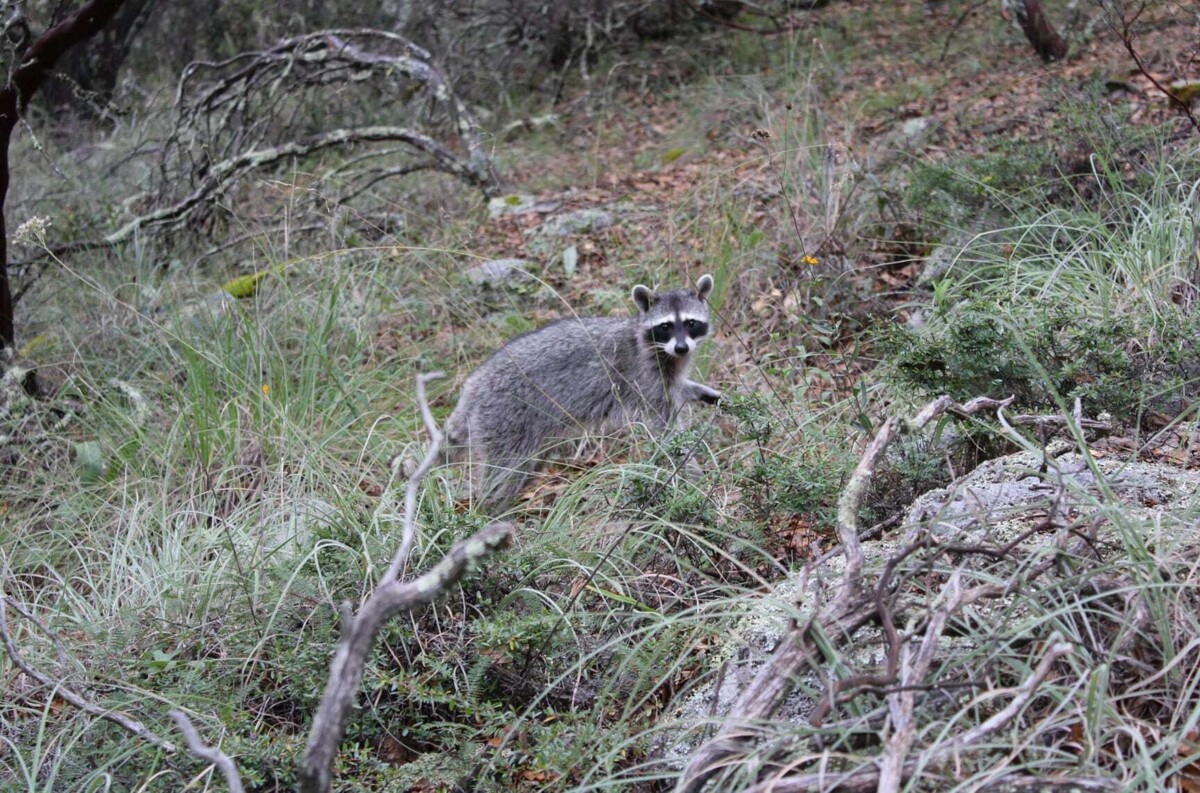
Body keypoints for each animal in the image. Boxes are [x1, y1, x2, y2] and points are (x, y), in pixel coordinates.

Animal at [444, 272, 715, 506]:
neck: (664, 351)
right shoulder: (643, 377)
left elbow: (678, 389)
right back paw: (488, 509)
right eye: (665, 326)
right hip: (505, 418)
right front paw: (692, 471)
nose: (681, 348)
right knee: (504, 472)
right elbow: (668, 429)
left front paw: (700, 391)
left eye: (691, 323)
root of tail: (473, 386)